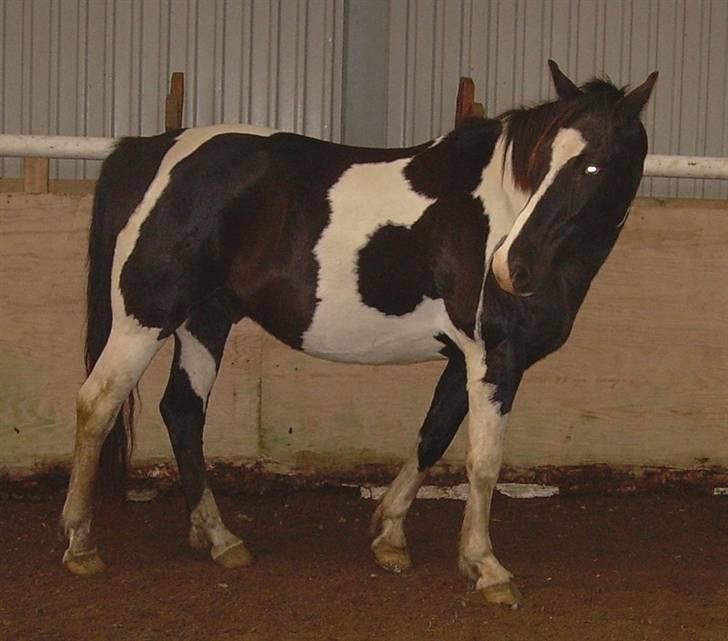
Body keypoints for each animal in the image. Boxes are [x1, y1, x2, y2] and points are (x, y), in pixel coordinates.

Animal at [61, 61, 656, 604]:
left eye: (594, 165)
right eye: (543, 160)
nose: (512, 268)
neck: (499, 213)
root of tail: (148, 152)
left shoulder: (462, 359)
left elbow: (433, 434)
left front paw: (390, 536)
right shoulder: (494, 356)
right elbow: (482, 462)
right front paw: (486, 566)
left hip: (204, 320)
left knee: (183, 412)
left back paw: (219, 538)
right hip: (145, 318)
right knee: (97, 403)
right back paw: (81, 544)